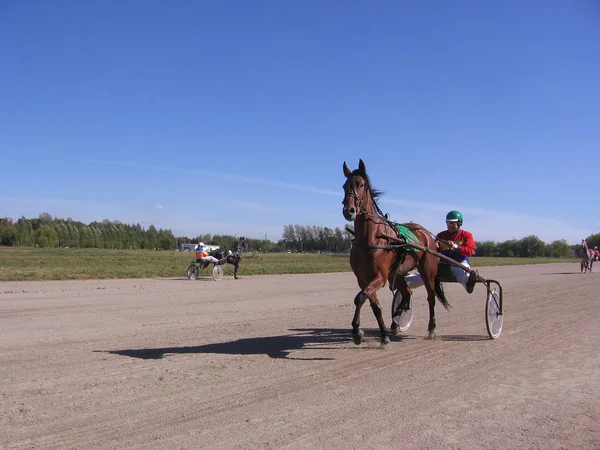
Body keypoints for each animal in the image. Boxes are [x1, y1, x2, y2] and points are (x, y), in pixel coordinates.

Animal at [342, 160, 450, 342]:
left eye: (361, 184)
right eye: (344, 186)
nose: (348, 210)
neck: (370, 239)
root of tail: (427, 234)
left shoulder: (380, 276)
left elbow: (360, 297)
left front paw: (357, 331)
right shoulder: (363, 278)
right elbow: (373, 304)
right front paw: (384, 334)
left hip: (427, 269)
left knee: (431, 297)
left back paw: (431, 328)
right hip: (398, 272)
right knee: (407, 292)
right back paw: (396, 319)